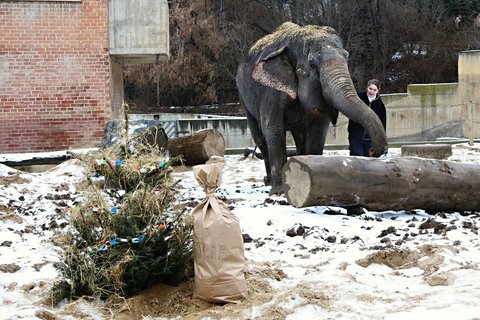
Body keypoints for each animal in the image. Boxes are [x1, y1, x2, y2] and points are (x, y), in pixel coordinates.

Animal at [237, 21, 390, 195]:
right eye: (312, 64)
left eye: (347, 56)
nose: (372, 151)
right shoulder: (271, 90)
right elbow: (274, 130)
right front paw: (279, 192)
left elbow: (318, 130)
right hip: (243, 95)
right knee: (260, 138)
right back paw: (268, 182)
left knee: (299, 136)